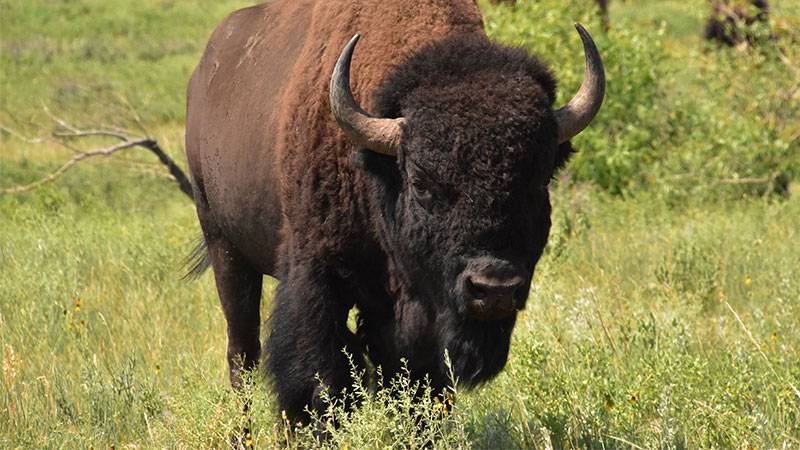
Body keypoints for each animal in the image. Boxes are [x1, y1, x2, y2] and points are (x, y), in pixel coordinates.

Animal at [184, 0, 604, 424]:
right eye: (421, 181)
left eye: (540, 179)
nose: (494, 288)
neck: (377, 171)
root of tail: (204, 72)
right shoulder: (316, 276)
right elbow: (319, 381)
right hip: (224, 246)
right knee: (243, 356)